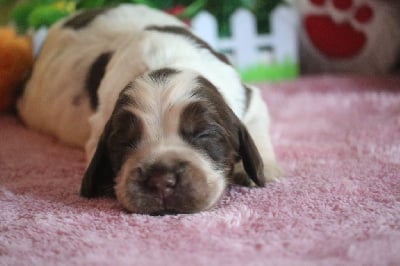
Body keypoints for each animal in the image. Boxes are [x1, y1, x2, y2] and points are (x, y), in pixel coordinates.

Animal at [17, 3, 280, 214]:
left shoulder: (250, 99)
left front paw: (263, 169)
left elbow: (257, 128)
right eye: (124, 142)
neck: (166, 62)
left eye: (204, 134)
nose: (161, 180)